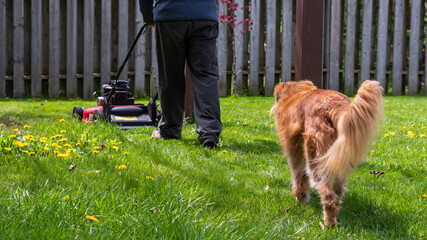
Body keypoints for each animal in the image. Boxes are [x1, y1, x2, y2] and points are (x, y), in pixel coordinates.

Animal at [272, 80, 386, 227]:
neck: (298, 93)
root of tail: (335, 107)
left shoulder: (295, 153)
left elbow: (299, 178)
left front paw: (300, 201)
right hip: (341, 160)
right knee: (338, 192)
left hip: (315, 160)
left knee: (328, 195)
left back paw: (328, 224)